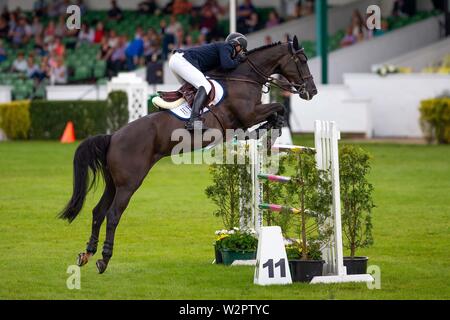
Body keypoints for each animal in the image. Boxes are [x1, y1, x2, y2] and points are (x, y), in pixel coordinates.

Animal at [58, 36, 318, 274]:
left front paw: (267, 132)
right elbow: (278, 109)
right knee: (112, 215)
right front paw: (269, 132)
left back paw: (87, 253)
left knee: (98, 212)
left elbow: (276, 113)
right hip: (129, 183)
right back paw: (104, 259)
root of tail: (113, 137)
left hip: (114, 183)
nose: (312, 92)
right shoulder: (248, 114)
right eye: (303, 60)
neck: (244, 77)